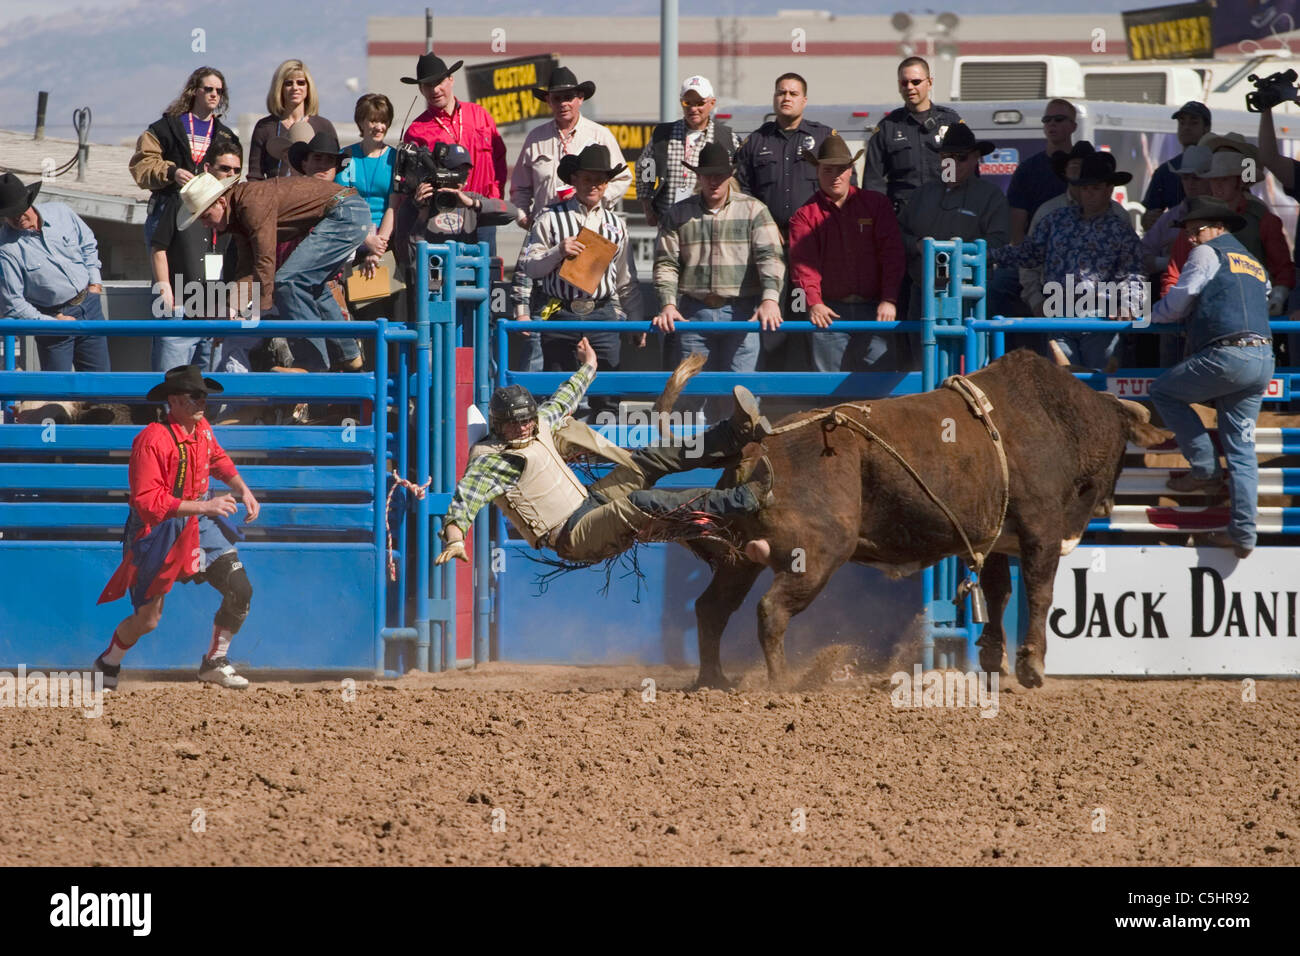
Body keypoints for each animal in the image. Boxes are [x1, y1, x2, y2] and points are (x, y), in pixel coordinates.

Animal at [691, 348, 1170, 691]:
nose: (1108, 506)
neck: (1060, 421)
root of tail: (761, 446)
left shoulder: (994, 536)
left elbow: (998, 594)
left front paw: (993, 659)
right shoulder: (1042, 531)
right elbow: (1039, 592)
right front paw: (1031, 665)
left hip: (741, 559)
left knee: (712, 608)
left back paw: (713, 679)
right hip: (816, 553)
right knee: (771, 611)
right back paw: (780, 683)